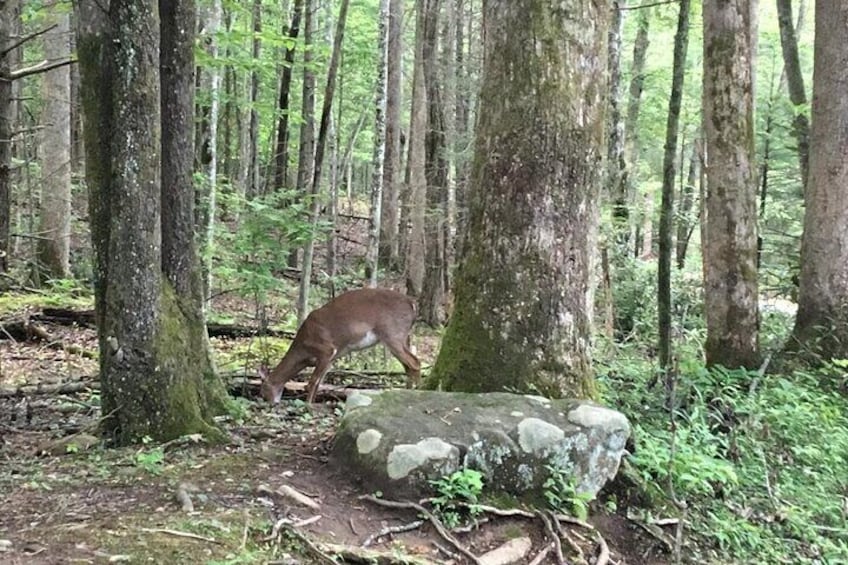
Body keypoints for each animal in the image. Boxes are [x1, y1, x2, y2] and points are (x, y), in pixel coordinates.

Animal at [258, 288, 418, 404]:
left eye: (264, 388)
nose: (270, 403)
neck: (303, 351)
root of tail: (411, 302)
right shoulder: (331, 359)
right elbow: (319, 383)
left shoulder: (326, 349)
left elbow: (312, 382)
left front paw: (307, 406)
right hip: (404, 337)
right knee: (409, 365)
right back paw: (409, 392)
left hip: (392, 333)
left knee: (414, 362)